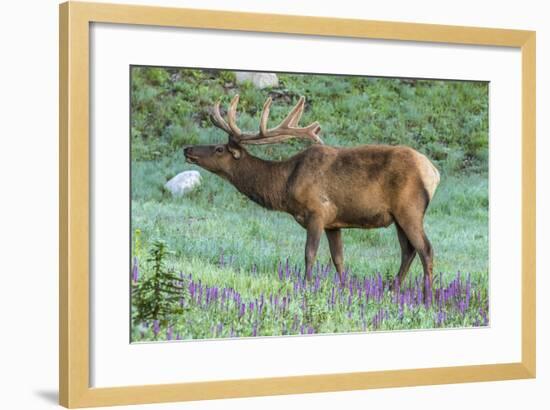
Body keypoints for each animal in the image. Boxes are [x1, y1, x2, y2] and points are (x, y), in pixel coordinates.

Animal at [183, 95, 442, 300]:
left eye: (219, 149)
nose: (187, 149)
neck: (285, 185)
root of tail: (433, 172)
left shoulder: (316, 212)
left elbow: (310, 254)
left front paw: (307, 287)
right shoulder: (334, 223)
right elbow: (338, 258)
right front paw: (344, 289)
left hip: (409, 209)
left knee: (426, 249)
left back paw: (427, 297)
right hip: (398, 217)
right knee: (408, 251)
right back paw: (392, 290)